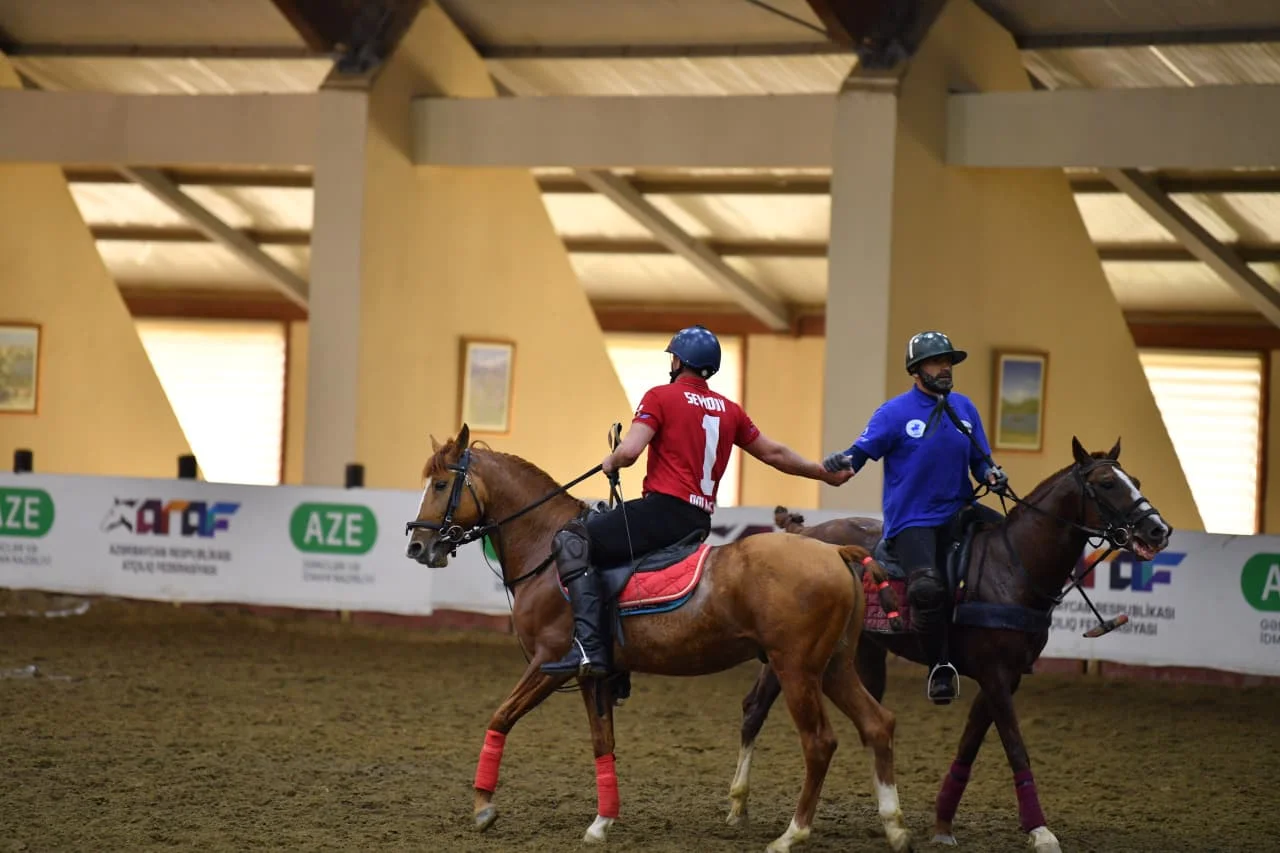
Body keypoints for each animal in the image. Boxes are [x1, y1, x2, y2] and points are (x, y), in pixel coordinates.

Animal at [402, 424, 915, 853]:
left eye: (442, 485)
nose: (417, 546)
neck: (544, 552)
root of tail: (837, 552)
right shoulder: (595, 675)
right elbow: (602, 742)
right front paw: (602, 822)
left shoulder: (552, 663)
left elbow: (501, 717)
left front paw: (483, 806)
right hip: (834, 666)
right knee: (878, 724)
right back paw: (895, 827)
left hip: (796, 670)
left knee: (820, 742)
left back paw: (793, 834)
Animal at [732, 437, 1172, 853]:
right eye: (1107, 482)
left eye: (1137, 480)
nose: (1159, 530)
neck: (1013, 567)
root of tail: (800, 533)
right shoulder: (995, 674)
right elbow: (1015, 747)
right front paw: (1041, 831)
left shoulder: (1006, 676)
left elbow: (970, 744)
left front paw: (943, 824)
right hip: (792, 654)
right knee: (754, 710)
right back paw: (738, 808)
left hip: (864, 652)